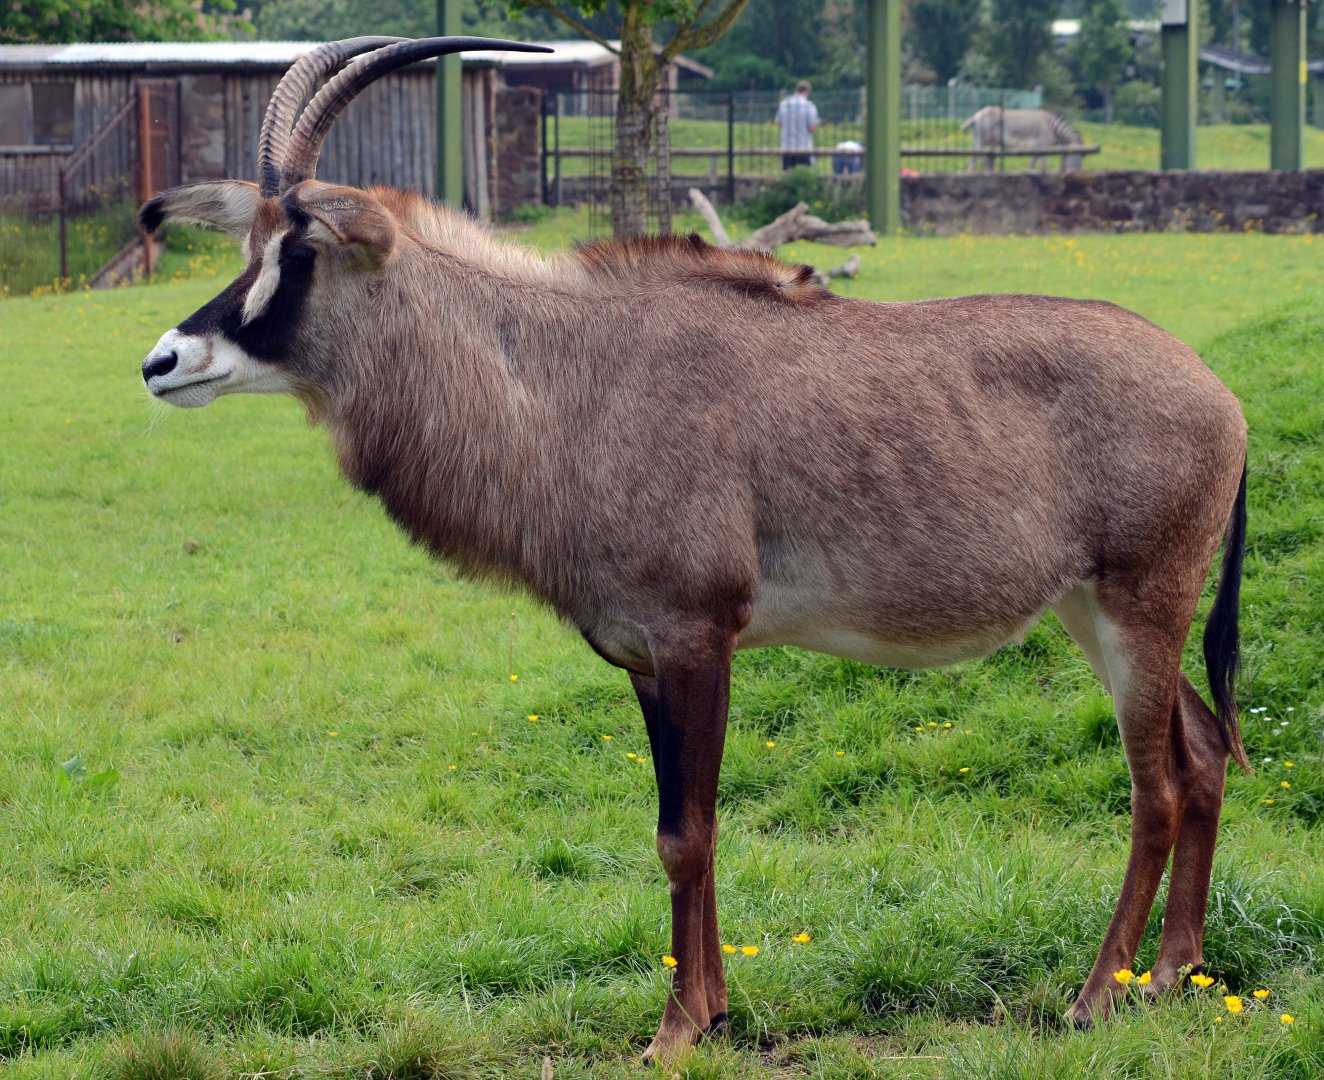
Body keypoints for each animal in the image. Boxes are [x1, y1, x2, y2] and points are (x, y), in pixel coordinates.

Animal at [138, 36, 1250, 1062]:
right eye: (250, 243)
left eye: (303, 250)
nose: (164, 361)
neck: (569, 377)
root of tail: (1220, 394)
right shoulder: (642, 655)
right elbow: (680, 828)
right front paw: (711, 1011)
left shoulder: (696, 637)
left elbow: (688, 834)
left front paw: (675, 1031)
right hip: (1095, 612)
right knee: (1201, 756)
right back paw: (1172, 973)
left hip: (1141, 604)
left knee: (1155, 786)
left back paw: (1097, 995)